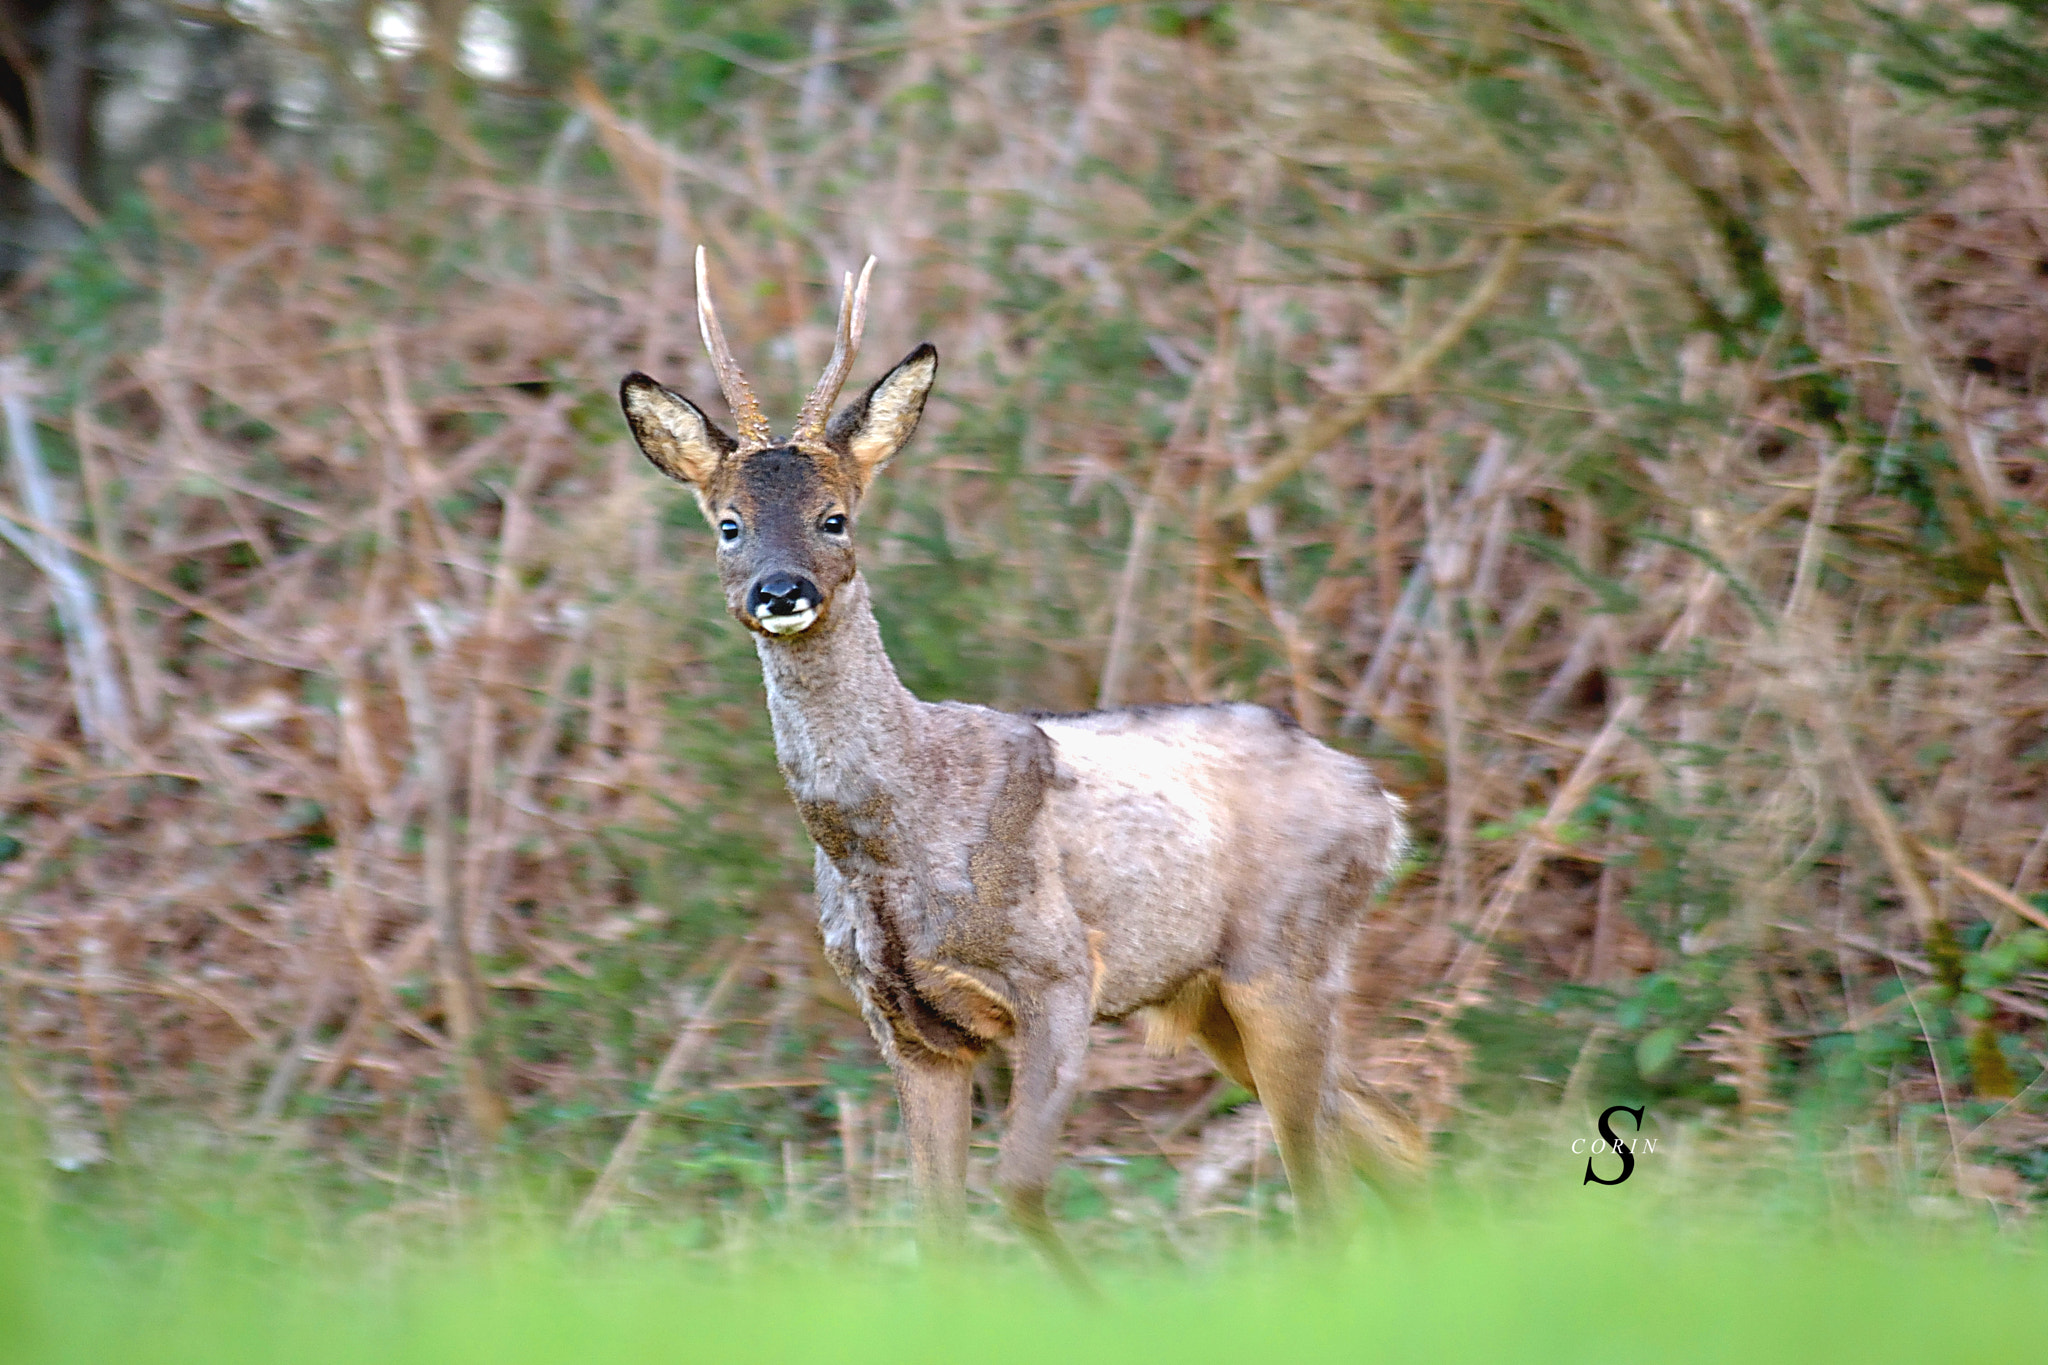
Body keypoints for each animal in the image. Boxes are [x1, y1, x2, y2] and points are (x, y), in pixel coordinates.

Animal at [618, 250, 1425, 1285]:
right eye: (727, 523)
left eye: (834, 517)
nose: (780, 590)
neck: (890, 841)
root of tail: (1385, 804)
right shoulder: (908, 1026)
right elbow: (938, 1227)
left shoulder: (1060, 974)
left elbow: (1022, 1188)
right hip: (1209, 997)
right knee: (1391, 1138)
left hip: (1285, 954)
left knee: (1324, 1183)